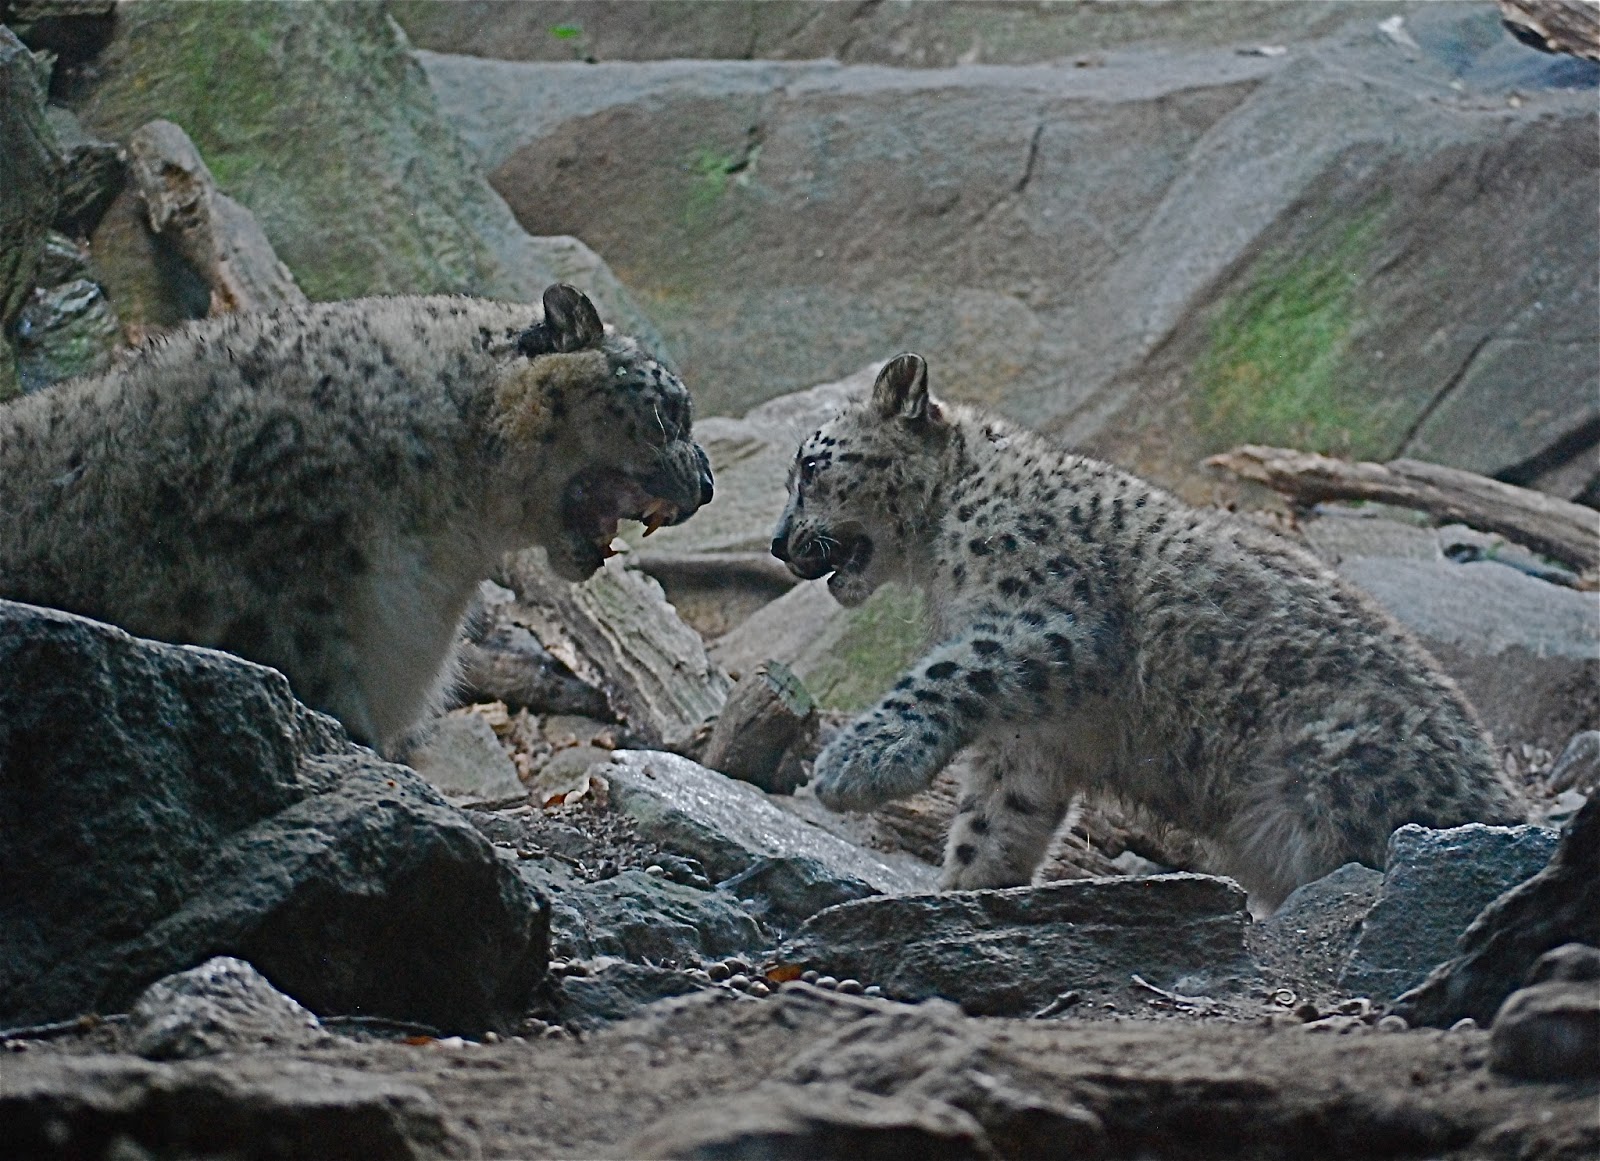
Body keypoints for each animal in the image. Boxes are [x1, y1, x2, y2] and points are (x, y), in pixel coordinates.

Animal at [771, 353, 1525, 909]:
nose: (779, 543)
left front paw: (858, 760)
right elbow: (994, 818)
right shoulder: (1031, 739)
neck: (941, 553)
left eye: (811, 464)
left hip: (1336, 769)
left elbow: (946, 670)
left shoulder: (1053, 623)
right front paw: (964, 889)